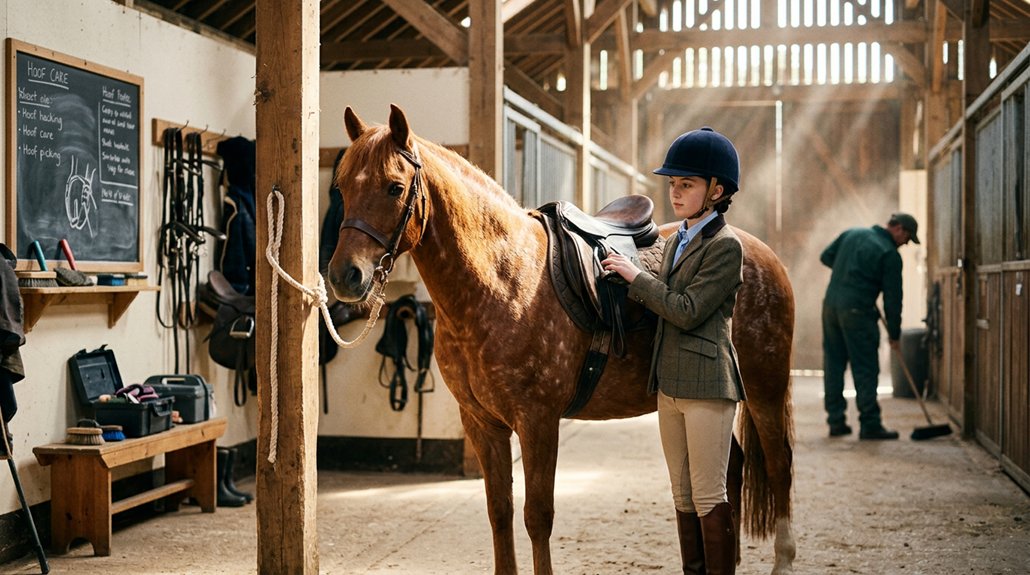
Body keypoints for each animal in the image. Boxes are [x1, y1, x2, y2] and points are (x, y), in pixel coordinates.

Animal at [327, 104, 796, 575]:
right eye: (342, 186)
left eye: (394, 187)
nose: (345, 276)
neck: (501, 280)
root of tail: (762, 253)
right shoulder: (482, 423)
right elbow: (499, 510)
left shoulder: (538, 420)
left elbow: (537, 515)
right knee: (728, 470)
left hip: (764, 389)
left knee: (779, 465)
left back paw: (783, 560)